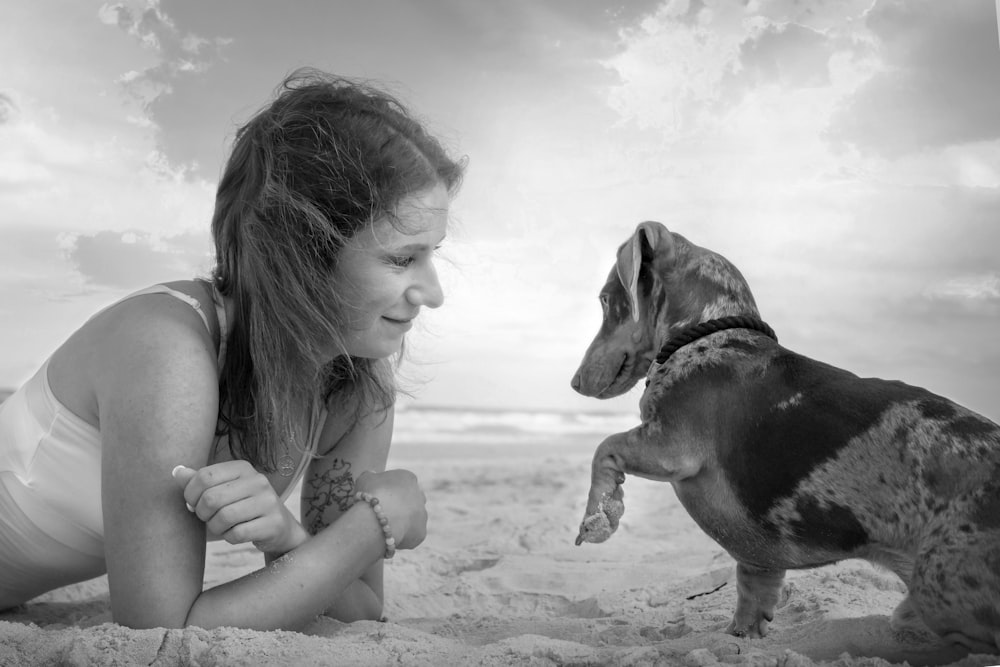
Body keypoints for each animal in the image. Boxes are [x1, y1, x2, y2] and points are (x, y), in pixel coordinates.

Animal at [572, 222, 1000, 656]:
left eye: (606, 301)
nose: (574, 382)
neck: (704, 337)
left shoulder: (669, 447)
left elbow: (604, 448)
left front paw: (598, 518)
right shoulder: (757, 560)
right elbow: (751, 600)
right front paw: (741, 638)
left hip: (938, 590)